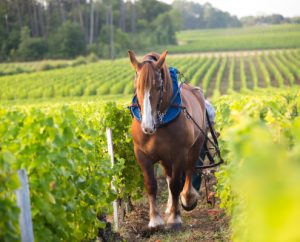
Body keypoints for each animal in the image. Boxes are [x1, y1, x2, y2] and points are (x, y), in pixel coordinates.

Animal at [126, 50, 206, 228]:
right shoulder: (141, 154)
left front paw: (175, 218)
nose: (147, 126)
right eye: (137, 86)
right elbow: (151, 185)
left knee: (189, 171)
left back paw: (187, 199)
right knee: (169, 177)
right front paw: (155, 220)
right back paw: (170, 207)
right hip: (164, 158)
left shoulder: (179, 154)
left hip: (195, 147)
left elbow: (176, 184)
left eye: (158, 86)